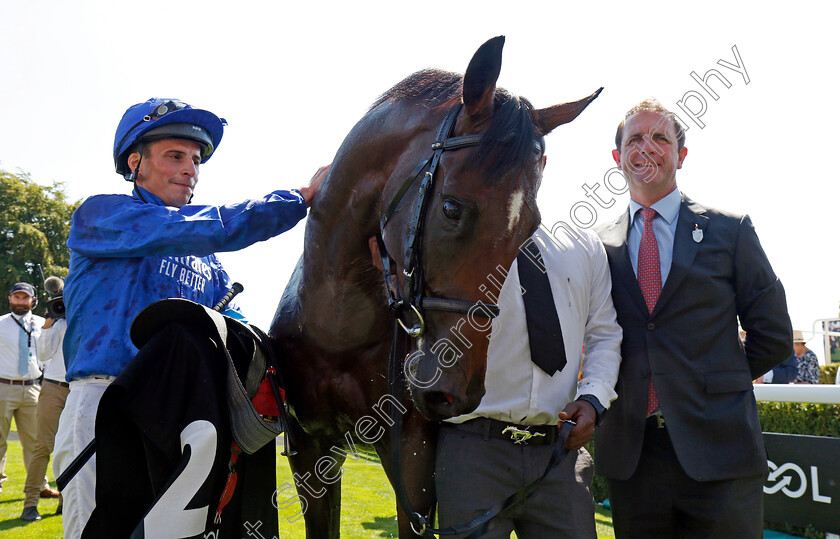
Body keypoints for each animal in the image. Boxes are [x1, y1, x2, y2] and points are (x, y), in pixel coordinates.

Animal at [272, 35, 600, 536]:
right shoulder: (310, 451)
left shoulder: (412, 456)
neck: (337, 328)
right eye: (451, 208)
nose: (455, 391)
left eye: (529, 228)